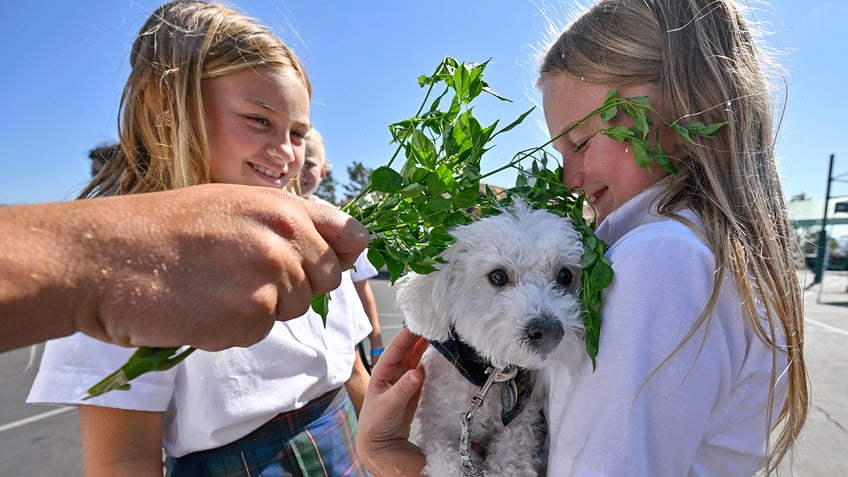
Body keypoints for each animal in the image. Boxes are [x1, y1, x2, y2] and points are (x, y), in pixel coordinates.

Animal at [396, 200, 584, 476]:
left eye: (564, 275)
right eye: (498, 276)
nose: (548, 331)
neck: (490, 375)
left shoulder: (522, 423)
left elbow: (512, 458)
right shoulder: (437, 431)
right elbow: (447, 460)